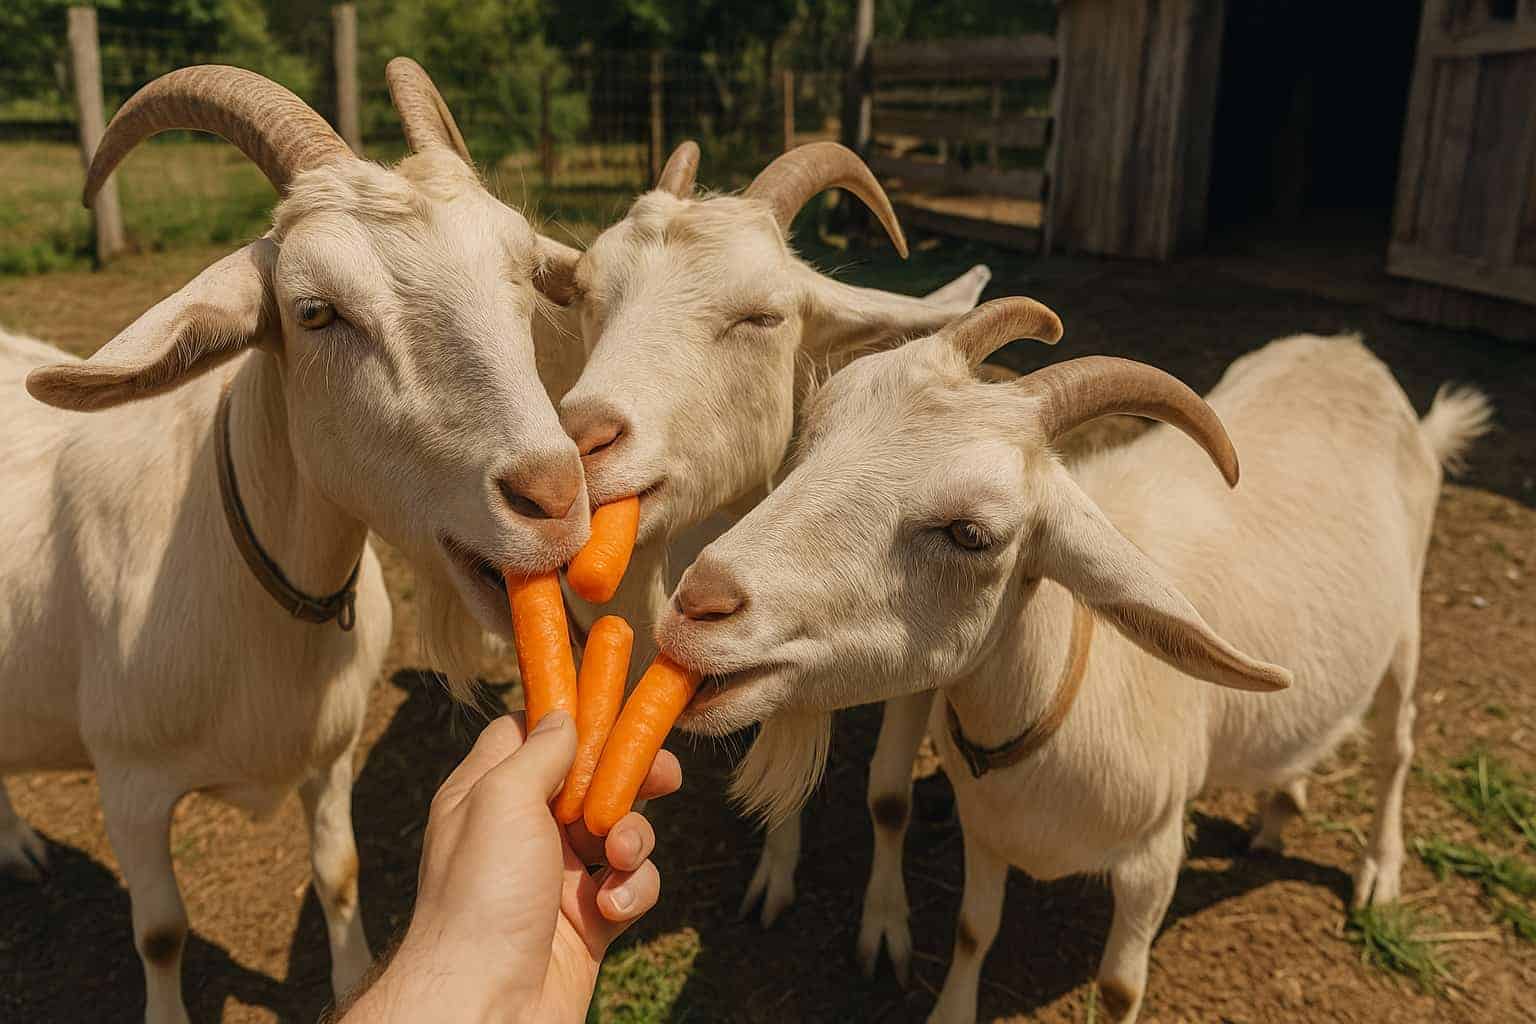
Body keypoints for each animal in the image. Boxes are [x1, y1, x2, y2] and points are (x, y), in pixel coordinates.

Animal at [0, 62, 583, 1024]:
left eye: (526, 272)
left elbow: (339, 873)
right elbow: (160, 933)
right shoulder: (129, 788)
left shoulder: (331, 754)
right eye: (315, 311)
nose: (555, 497)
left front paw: (351, 982)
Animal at [552, 140, 989, 923]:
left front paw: (884, 920)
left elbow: (888, 797)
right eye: (586, 296)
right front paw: (775, 880)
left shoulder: (927, 650)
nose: (583, 441)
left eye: (761, 317)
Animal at [654, 298, 1491, 1022]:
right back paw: (1280, 805)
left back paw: (1379, 871)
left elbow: (1120, 989)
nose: (698, 605)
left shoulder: (1154, 857)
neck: (1066, 699)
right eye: (810, 445)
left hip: (1405, 630)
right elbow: (972, 932)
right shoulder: (986, 831)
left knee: (1395, 747)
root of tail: (1352, 353)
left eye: (969, 533)